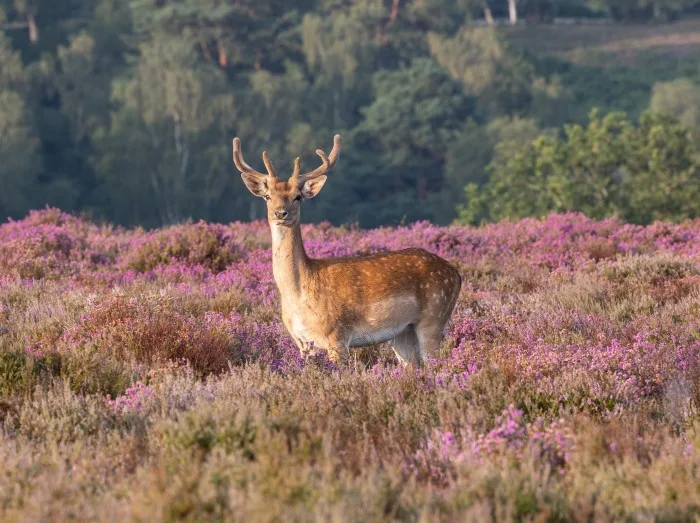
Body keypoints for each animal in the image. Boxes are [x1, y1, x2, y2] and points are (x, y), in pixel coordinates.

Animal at [235, 134, 462, 364]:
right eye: (267, 196)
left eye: (298, 196)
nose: (281, 213)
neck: (297, 293)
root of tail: (456, 274)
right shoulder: (303, 343)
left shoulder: (337, 335)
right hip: (402, 332)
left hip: (434, 317)